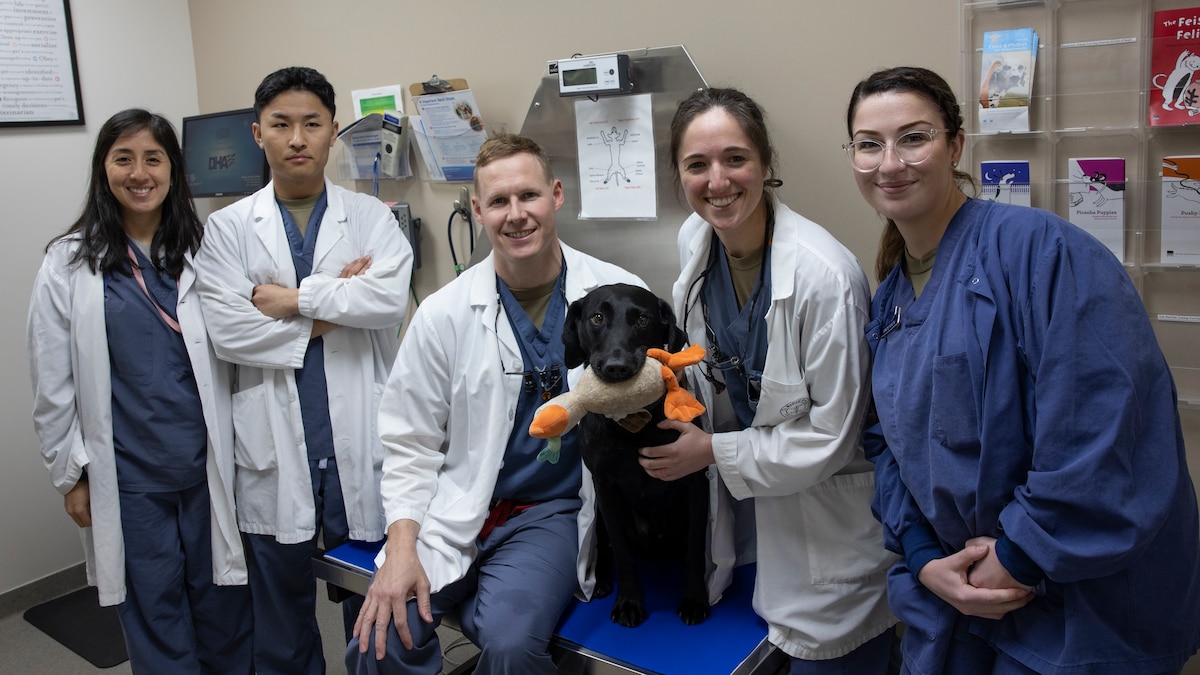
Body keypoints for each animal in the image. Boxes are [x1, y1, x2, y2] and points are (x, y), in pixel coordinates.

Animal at [564, 282, 710, 624]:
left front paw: (695, 598)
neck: (631, 424)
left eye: (643, 320)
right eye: (597, 317)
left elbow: (696, 547)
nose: (617, 368)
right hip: (599, 515)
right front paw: (629, 602)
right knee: (605, 548)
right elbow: (622, 553)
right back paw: (601, 580)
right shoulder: (605, 488)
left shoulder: (696, 483)